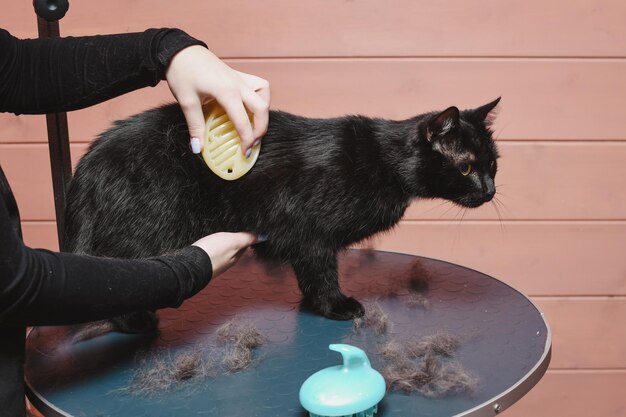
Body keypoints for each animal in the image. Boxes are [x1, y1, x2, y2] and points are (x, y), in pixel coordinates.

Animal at [66, 96, 500, 322]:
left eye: (493, 164)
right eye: (466, 167)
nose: (490, 190)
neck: (384, 161)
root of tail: (90, 160)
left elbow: (309, 275)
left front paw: (312, 305)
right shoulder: (311, 234)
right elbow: (321, 273)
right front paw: (335, 307)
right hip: (148, 228)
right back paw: (138, 323)